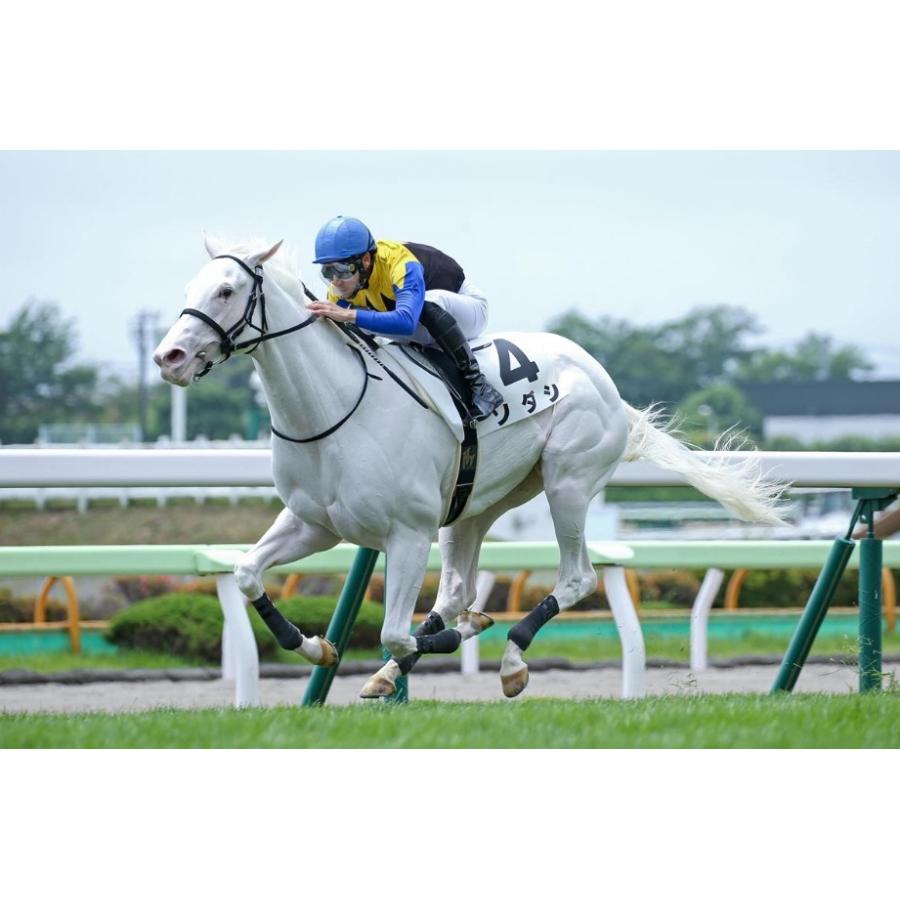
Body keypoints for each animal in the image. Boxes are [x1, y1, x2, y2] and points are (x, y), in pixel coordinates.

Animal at [153, 236, 785, 699]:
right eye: (189, 288)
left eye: (227, 290)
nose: (169, 357)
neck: (332, 408)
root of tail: (603, 379)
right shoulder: (314, 524)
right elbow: (246, 573)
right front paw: (317, 647)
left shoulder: (407, 533)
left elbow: (393, 631)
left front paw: (454, 641)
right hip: (474, 503)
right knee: (457, 590)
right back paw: (414, 659)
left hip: (568, 483)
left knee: (575, 577)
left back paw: (509, 658)